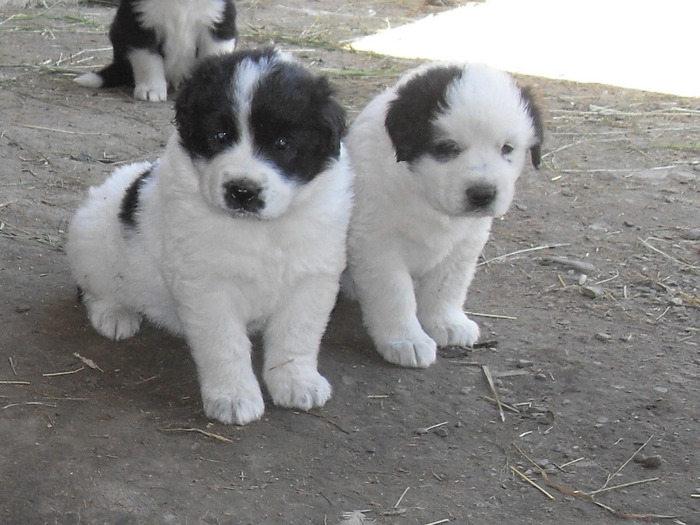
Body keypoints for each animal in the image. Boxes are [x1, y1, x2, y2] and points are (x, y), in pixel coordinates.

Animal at [66, 49, 352, 424]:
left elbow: (297, 334)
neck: (260, 229)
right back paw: (114, 315)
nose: (242, 190)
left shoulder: (312, 277)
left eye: (282, 143)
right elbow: (224, 344)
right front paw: (234, 396)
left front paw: (297, 381)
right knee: (95, 289)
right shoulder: (207, 285)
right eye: (220, 134)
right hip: (91, 242)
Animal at [344, 62, 548, 368]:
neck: (422, 193)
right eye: (448, 148)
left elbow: (449, 285)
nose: (482, 194)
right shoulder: (377, 244)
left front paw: (446, 323)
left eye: (507, 148)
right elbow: (395, 293)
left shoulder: (465, 244)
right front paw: (407, 340)